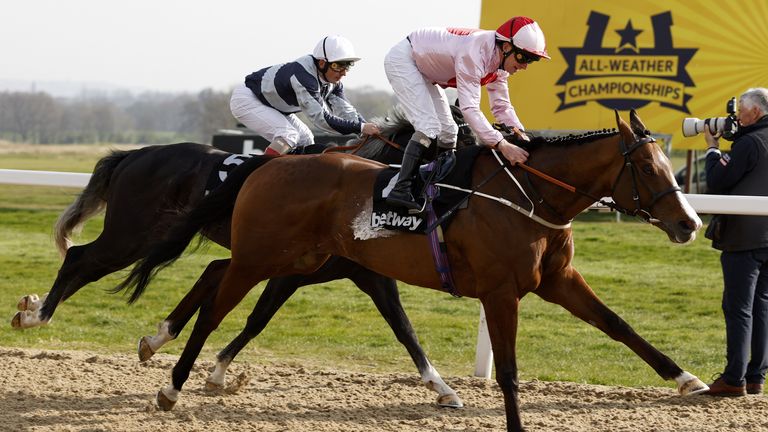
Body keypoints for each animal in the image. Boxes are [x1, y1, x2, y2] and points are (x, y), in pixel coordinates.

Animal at [13, 106, 474, 406]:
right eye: (469, 138)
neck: (367, 185)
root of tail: (136, 154)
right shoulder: (287, 271)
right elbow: (257, 317)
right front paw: (214, 372)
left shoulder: (361, 273)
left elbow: (405, 329)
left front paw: (443, 390)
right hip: (130, 235)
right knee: (80, 260)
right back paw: (35, 314)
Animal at [117, 109, 712, 430]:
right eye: (645, 167)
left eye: (667, 163)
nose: (689, 224)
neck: (530, 197)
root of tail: (269, 165)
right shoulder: (500, 291)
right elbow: (508, 369)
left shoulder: (557, 281)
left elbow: (619, 325)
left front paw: (688, 379)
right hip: (262, 256)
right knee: (215, 307)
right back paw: (170, 385)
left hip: (296, 258)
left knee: (219, 284)